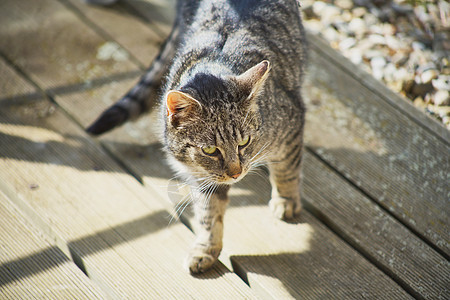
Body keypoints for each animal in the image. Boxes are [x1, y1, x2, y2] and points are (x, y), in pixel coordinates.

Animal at [86, 0, 308, 274]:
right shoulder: (202, 176)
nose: (236, 174)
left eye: (244, 142)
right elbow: (208, 214)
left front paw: (286, 200)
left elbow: (286, 170)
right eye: (210, 150)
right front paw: (206, 248)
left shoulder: (290, 126)